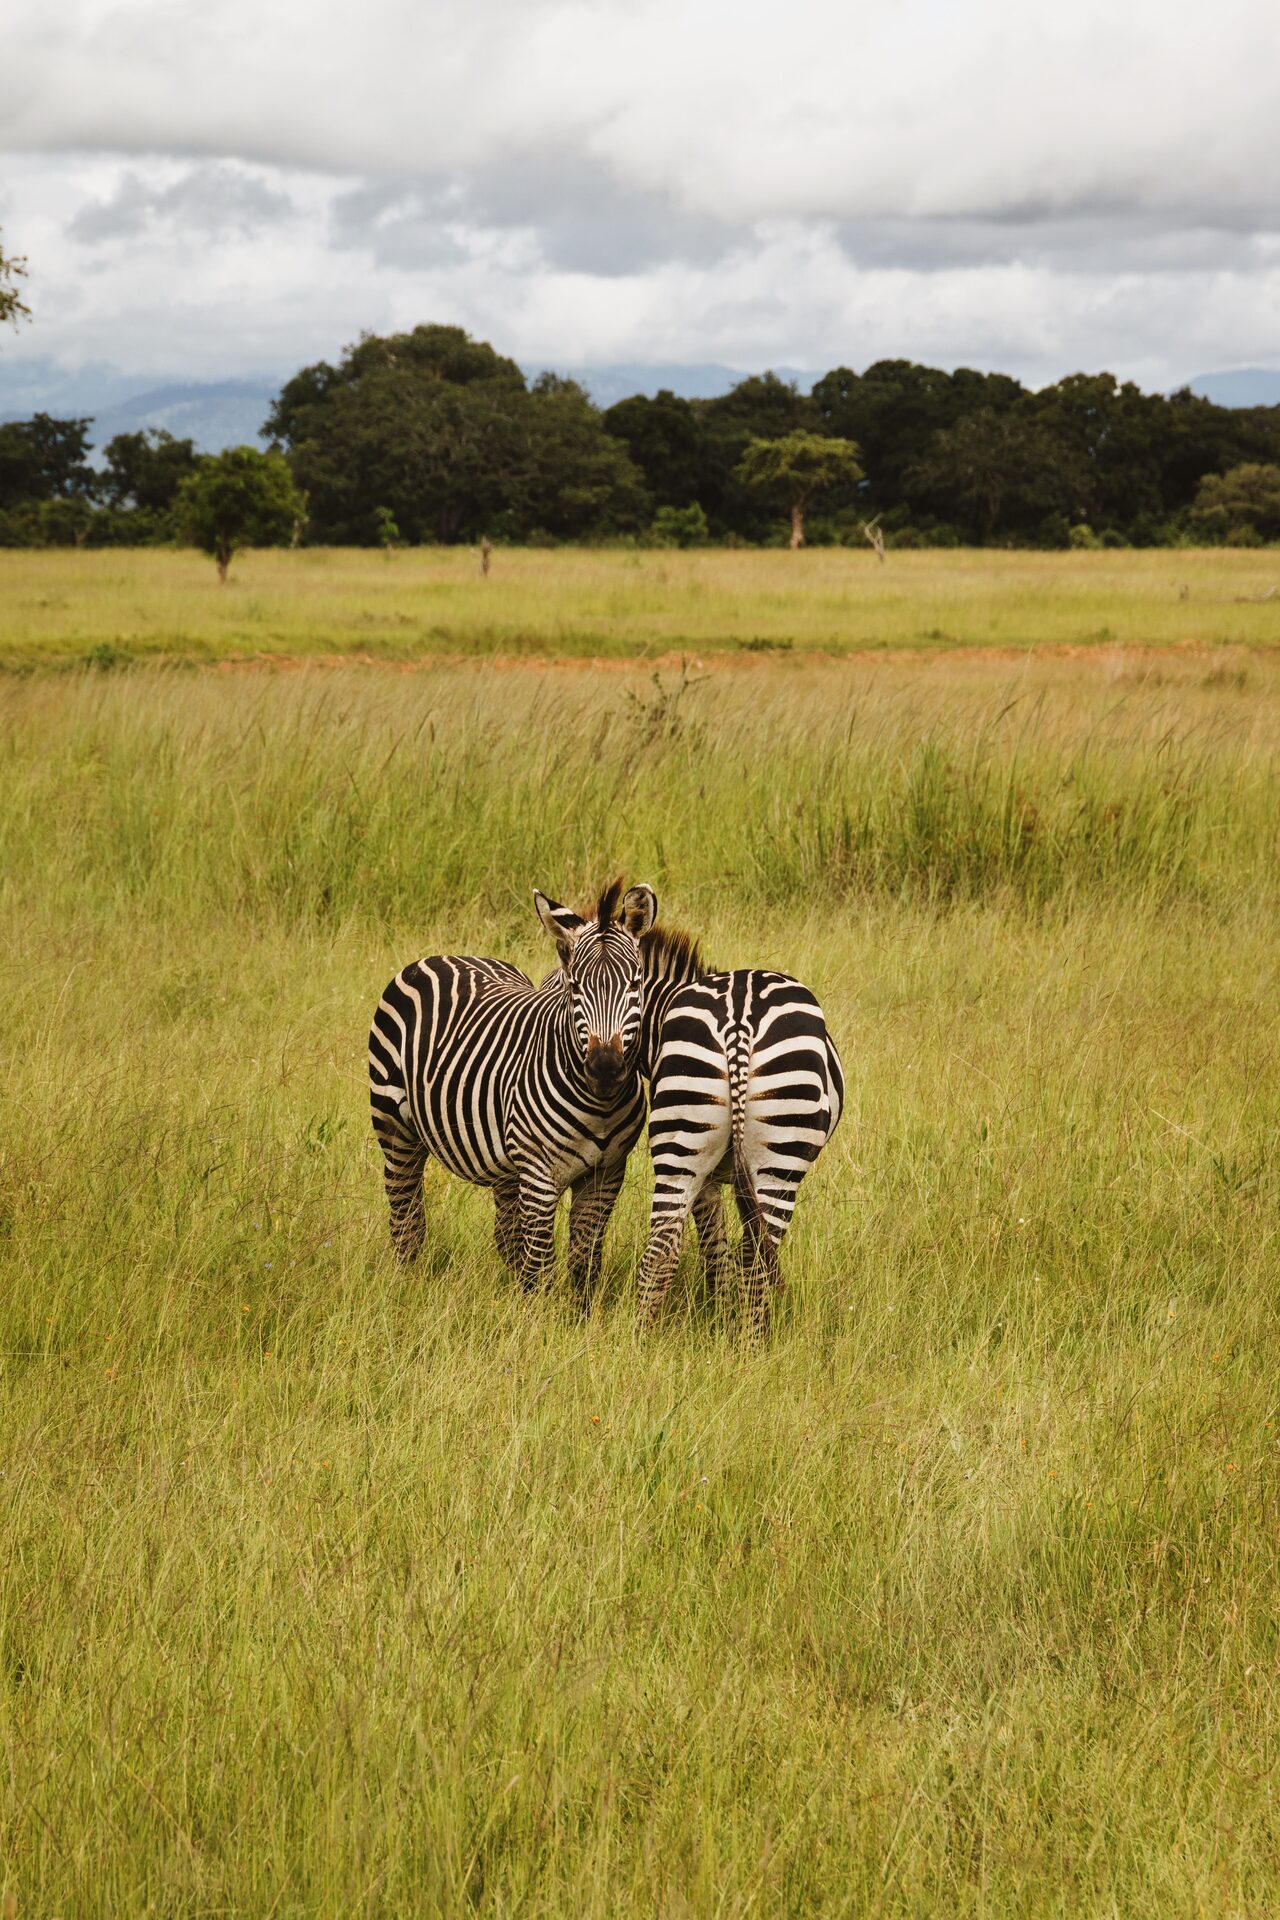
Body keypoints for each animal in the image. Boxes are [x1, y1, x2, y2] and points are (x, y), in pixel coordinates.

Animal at [368, 880, 657, 1300]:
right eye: (575, 988)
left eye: (635, 984)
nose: (605, 1068)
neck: (599, 1106)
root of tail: (446, 955)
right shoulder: (538, 1173)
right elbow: (540, 1262)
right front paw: (539, 1315)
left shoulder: (606, 1173)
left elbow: (584, 1261)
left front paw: (580, 1314)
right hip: (396, 1129)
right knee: (406, 1215)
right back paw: (408, 1283)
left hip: (504, 1165)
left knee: (504, 1235)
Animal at [634, 926, 844, 1335]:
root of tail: (738, 1023)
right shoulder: (712, 1179)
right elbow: (718, 1249)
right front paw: (721, 1313)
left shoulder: (707, 1175)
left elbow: (714, 1249)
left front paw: (717, 1313)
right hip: (779, 1159)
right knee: (755, 1252)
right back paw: (752, 1341)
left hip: (682, 1143)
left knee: (660, 1249)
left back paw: (638, 1338)